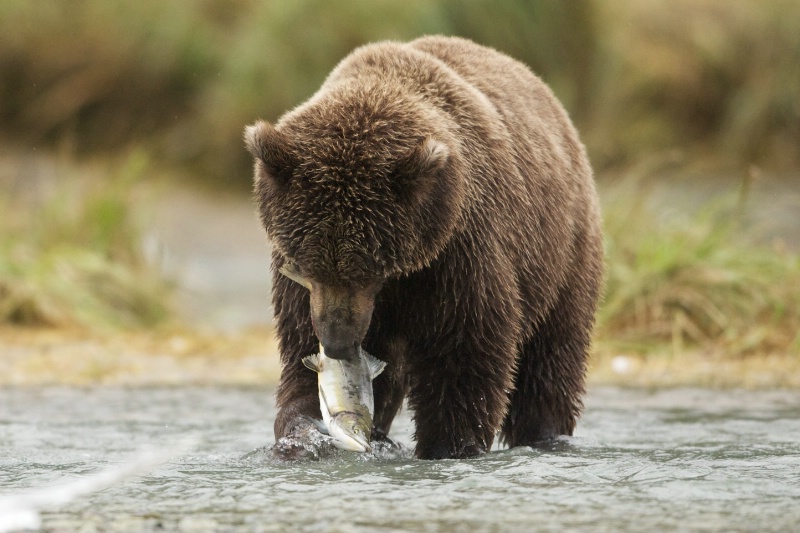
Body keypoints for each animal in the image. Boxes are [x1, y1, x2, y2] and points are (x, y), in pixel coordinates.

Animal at [244, 34, 600, 458]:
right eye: (309, 266)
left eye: (368, 268)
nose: (337, 343)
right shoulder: (301, 282)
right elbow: (300, 354)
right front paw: (303, 436)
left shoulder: (459, 252)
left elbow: (465, 354)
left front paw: (449, 444)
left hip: (562, 256)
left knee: (550, 360)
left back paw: (547, 433)